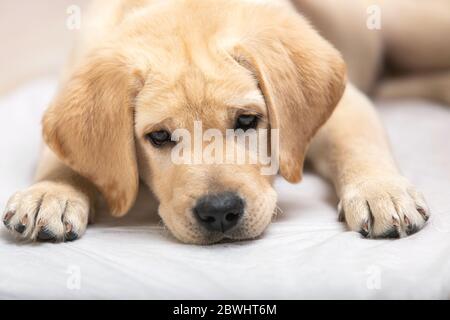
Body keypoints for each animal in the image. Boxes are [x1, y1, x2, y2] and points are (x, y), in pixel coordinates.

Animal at [2, 0, 446, 244]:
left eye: (247, 120)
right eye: (159, 136)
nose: (219, 212)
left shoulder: (349, 105)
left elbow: (357, 143)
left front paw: (382, 192)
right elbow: (63, 158)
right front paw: (50, 194)